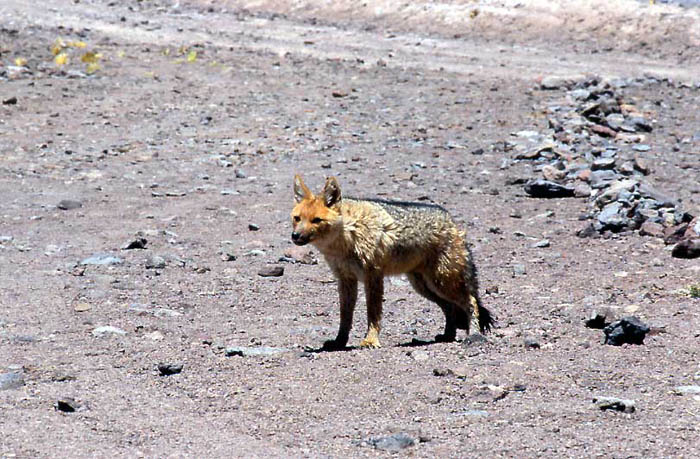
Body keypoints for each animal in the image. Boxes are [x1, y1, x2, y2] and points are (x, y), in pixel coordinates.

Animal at [288, 174, 492, 350]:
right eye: (297, 218)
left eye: (316, 220)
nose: (295, 236)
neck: (347, 236)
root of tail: (452, 223)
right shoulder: (346, 279)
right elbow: (345, 315)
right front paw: (340, 341)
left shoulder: (373, 275)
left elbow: (373, 312)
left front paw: (370, 340)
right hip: (424, 286)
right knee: (450, 307)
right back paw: (448, 335)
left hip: (442, 282)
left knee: (471, 302)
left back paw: (473, 335)